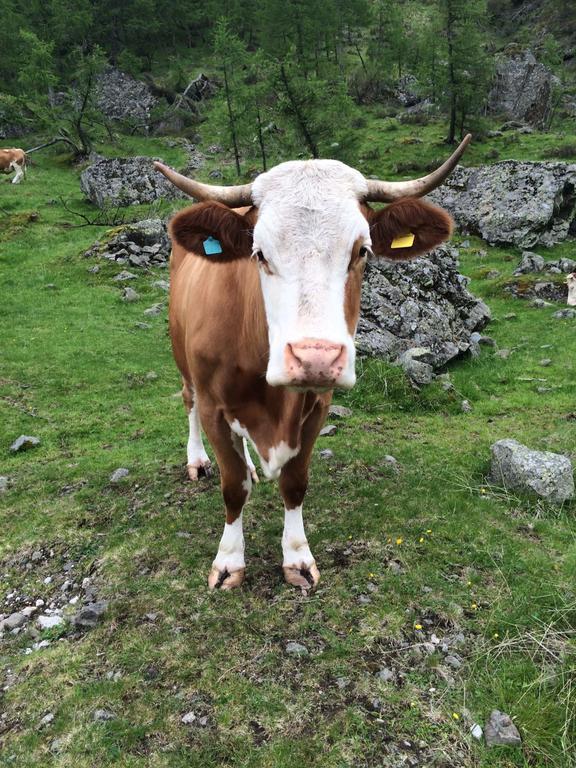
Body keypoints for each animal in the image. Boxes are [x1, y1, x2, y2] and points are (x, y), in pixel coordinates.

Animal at [155, 135, 470, 592]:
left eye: (362, 250)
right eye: (259, 253)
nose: (315, 357)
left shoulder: (318, 407)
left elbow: (295, 483)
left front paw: (297, 557)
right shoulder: (215, 406)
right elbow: (233, 487)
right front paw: (229, 561)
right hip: (184, 362)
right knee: (188, 400)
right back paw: (197, 460)